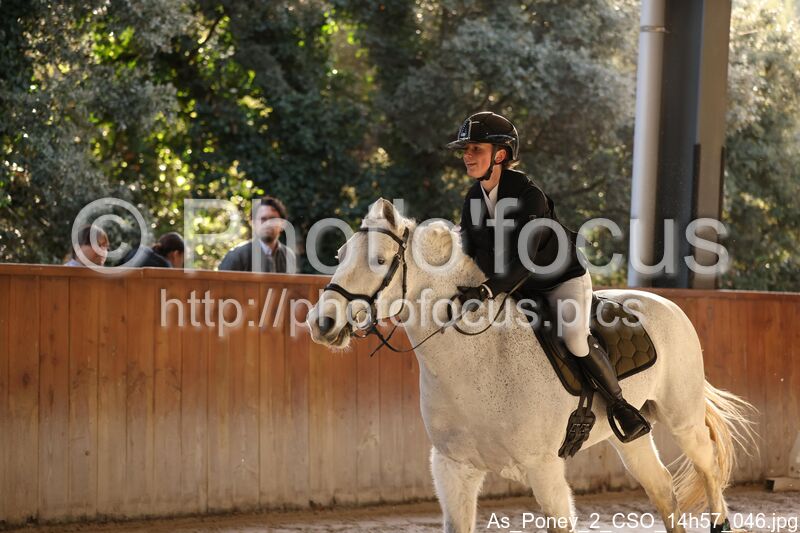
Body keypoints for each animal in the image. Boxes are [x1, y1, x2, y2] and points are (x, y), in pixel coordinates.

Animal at [306, 198, 755, 533]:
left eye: (381, 261)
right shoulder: (453, 469)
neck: (475, 361)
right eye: (340, 255)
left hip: (682, 419)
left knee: (709, 469)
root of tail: (667, 304)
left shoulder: (544, 470)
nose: (322, 323)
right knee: (663, 491)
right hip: (632, 437)